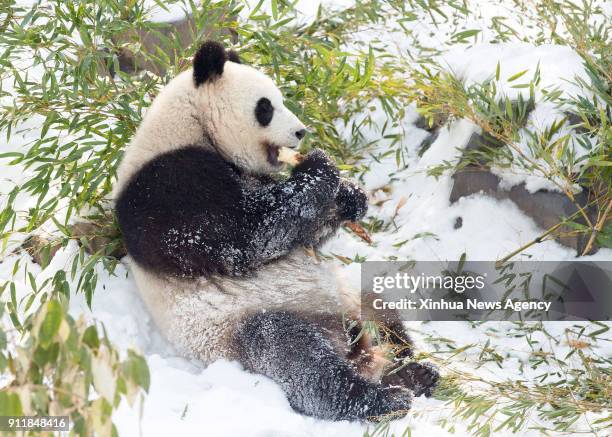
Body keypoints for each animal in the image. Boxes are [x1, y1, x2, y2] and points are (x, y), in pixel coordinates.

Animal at [113, 41, 440, 422]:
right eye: (266, 107)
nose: (301, 133)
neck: (190, 124)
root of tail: (355, 348)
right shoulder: (167, 186)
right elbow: (245, 235)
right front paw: (320, 165)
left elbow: (299, 232)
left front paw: (350, 196)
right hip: (247, 324)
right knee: (294, 354)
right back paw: (378, 399)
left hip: (350, 297)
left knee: (382, 311)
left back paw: (413, 371)